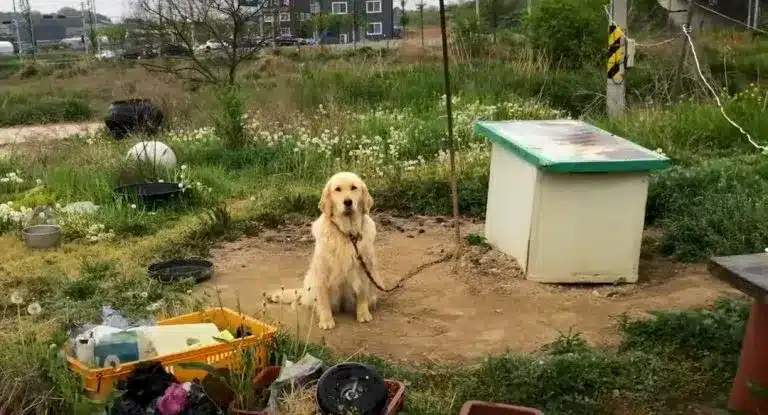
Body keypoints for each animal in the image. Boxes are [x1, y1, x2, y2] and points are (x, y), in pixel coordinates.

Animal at [268, 172, 380, 332]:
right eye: (337, 189)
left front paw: (363, 314)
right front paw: (326, 320)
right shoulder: (322, 272)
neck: (347, 234)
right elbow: (324, 300)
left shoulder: (364, 268)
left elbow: (362, 293)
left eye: (354, 187)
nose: (348, 202)